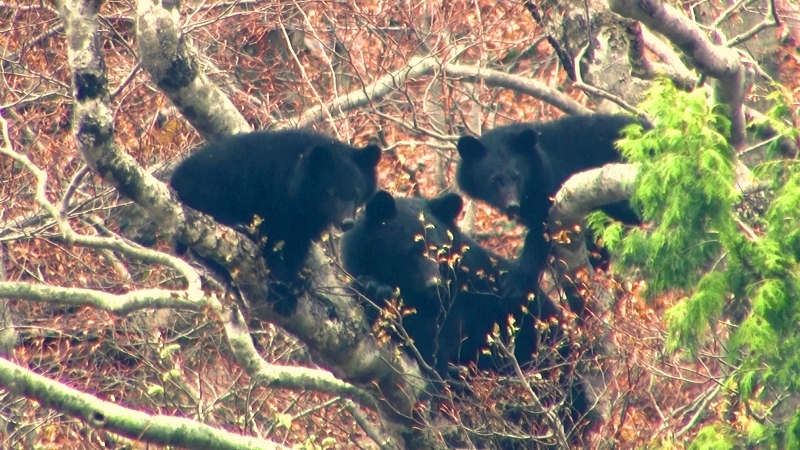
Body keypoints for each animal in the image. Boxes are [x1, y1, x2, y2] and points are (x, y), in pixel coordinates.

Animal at [171, 130, 382, 312]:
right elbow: (274, 239)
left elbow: (296, 244)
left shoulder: (304, 222)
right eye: (332, 193)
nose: (347, 222)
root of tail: (175, 179)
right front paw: (282, 284)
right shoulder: (272, 197)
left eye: (356, 193)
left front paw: (297, 282)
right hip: (211, 190)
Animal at [456, 112, 644, 286]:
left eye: (517, 177)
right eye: (494, 180)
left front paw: (517, 279)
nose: (512, 206)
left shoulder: (551, 186)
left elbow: (542, 230)